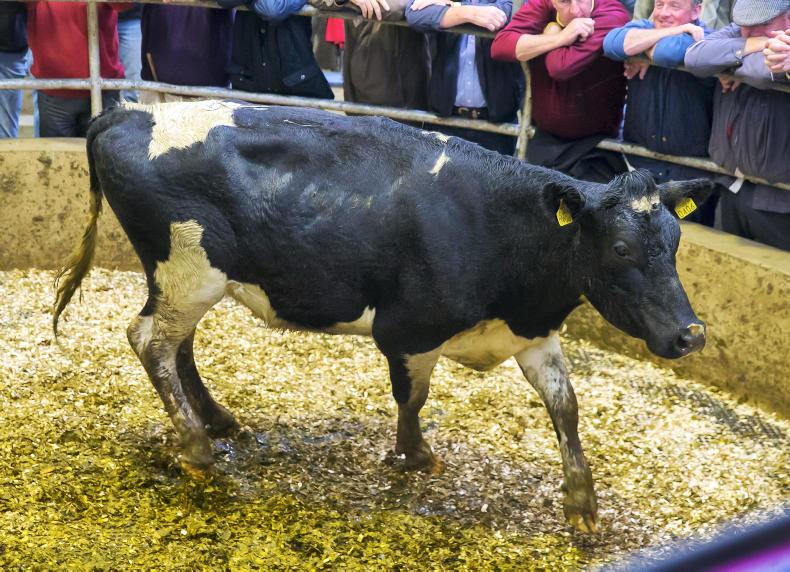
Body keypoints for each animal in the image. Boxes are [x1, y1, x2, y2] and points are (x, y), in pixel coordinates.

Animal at [53, 100, 712, 534]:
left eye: (676, 241)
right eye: (620, 249)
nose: (690, 334)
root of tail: (126, 112)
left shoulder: (532, 331)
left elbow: (566, 407)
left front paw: (581, 502)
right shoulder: (409, 330)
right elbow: (412, 397)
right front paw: (413, 456)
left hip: (187, 281)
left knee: (177, 346)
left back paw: (217, 421)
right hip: (188, 269)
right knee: (149, 340)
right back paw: (195, 445)